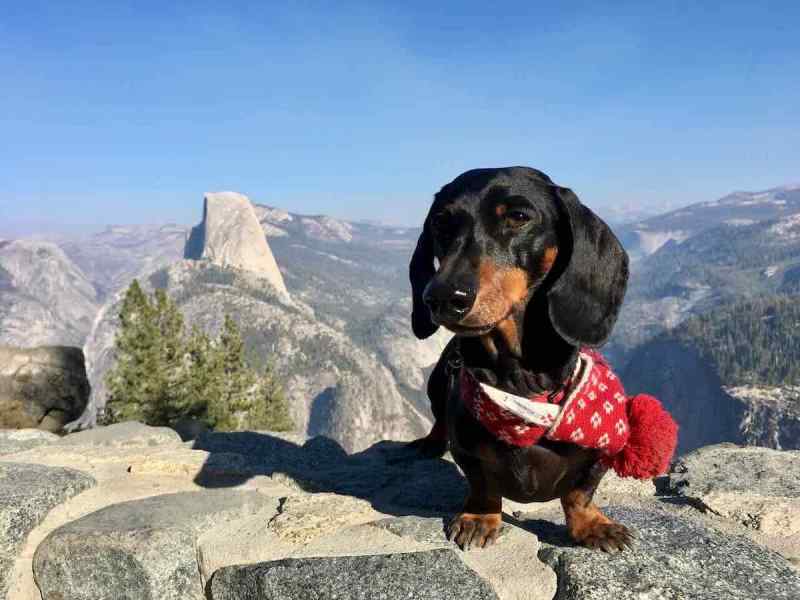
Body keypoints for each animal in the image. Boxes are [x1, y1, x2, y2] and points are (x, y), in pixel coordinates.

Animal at [410, 166, 636, 552]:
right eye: (440, 223)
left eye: (518, 216)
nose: (440, 297)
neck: (521, 386)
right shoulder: (466, 450)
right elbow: (483, 485)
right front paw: (479, 518)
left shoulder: (601, 453)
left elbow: (580, 493)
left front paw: (594, 525)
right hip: (438, 380)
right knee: (439, 417)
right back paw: (430, 442)